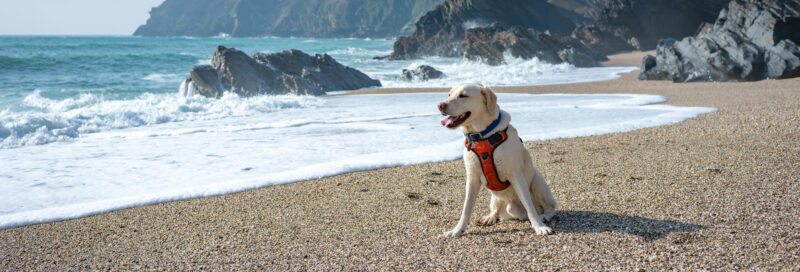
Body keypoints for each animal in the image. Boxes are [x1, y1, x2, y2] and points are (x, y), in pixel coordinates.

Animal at [438, 83, 556, 238]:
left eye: (463, 95)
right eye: (449, 94)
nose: (440, 105)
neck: (482, 135)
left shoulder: (516, 175)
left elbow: (530, 206)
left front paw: (539, 227)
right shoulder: (472, 178)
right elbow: (466, 208)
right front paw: (457, 230)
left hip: (538, 182)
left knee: (549, 207)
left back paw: (544, 217)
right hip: (495, 198)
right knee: (497, 210)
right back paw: (490, 217)